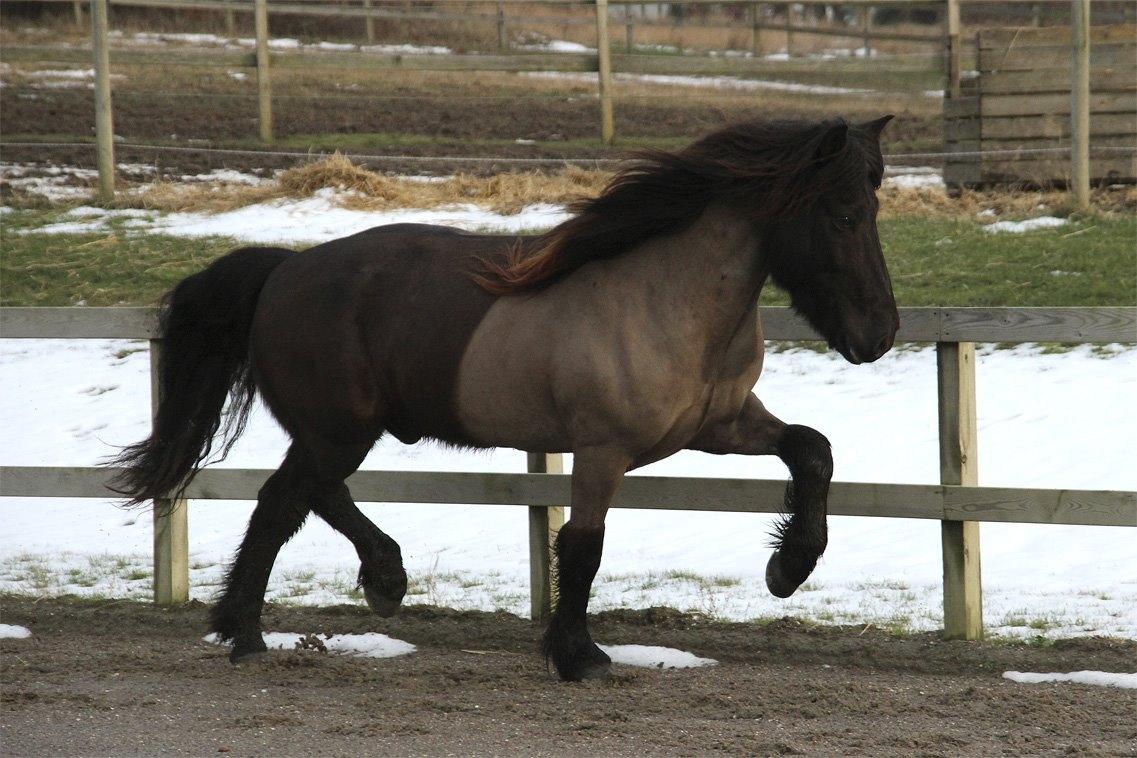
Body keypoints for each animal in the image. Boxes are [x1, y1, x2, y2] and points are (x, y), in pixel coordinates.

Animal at [113, 115, 895, 686]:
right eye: (843, 214)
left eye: (873, 207)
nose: (880, 334)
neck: (664, 298)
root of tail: (284, 269)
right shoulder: (603, 449)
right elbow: (581, 546)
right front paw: (578, 656)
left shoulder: (718, 424)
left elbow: (812, 450)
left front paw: (788, 568)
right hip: (340, 429)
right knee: (285, 502)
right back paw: (252, 631)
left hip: (339, 430)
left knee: (309, 494)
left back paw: (369, 584)